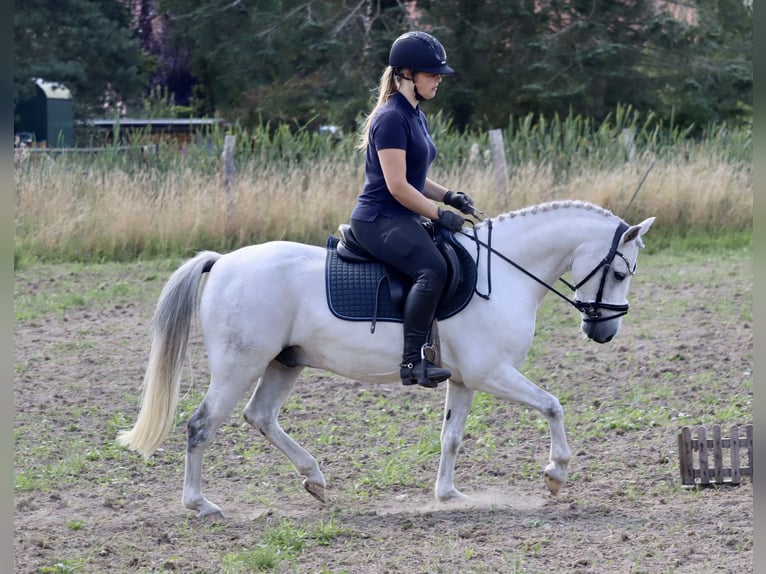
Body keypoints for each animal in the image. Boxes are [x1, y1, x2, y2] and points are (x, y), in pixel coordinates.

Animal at [118, 200, 656, 520]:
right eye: (622, 271)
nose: (603, 332)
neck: (504, 272)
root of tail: (223, 260)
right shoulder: (492, 373)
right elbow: (552, 405)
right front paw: (556, 474)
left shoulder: (465, 379)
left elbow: (451, 436)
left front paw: (448, 495)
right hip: (239, 366)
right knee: (201, 425)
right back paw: (200, 504)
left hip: (284, 363)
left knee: (261, 416)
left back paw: (315, 479)